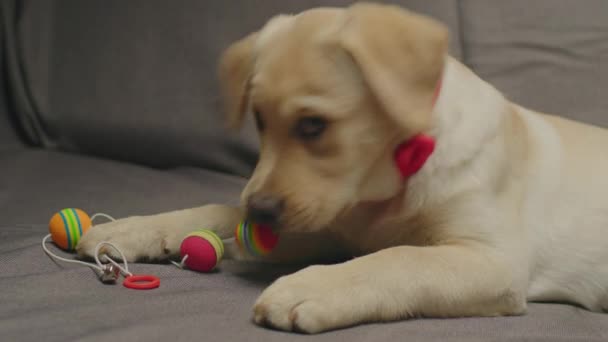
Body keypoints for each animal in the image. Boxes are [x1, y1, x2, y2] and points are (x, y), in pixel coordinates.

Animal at [76, 3, 608, 334]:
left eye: (314, 125)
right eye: (259, 120)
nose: (261, 213)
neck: (390, 187)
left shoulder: (492, 260)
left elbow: (400, 259)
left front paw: (313, 285)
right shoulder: (331, 225)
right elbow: (218, 211)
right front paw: (135, 230)